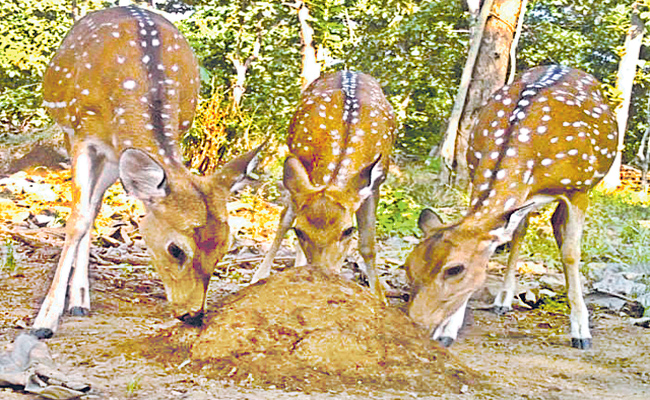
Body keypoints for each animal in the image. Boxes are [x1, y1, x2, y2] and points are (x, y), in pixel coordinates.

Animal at [33, 6, 261, 339]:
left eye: (223, 249)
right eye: (176, 249)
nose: (193, 314)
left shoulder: (121, 148)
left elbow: (90, 213)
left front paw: (69, 304)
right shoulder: (81, 134)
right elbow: (76, 220)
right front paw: (44, 321)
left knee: (95, 206)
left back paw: (80, 301)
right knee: (85, 210)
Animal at [250, 71, 396, 300]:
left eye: (348, 230)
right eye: (299, 231)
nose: (322, 277)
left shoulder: (375, 184)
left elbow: (368, 246)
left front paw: (380, 298)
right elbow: (287, 221)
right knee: (284, 217)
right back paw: (262, 275)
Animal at [405, 65, 617, 350]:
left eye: (454, 269)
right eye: (408, 265)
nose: (415, 322)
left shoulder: (579, 189)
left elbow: (571, 253)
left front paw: (581, 332)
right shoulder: (477, 178)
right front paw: (448, 330)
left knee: (555, 229)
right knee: (524, 230)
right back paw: (503, 301)